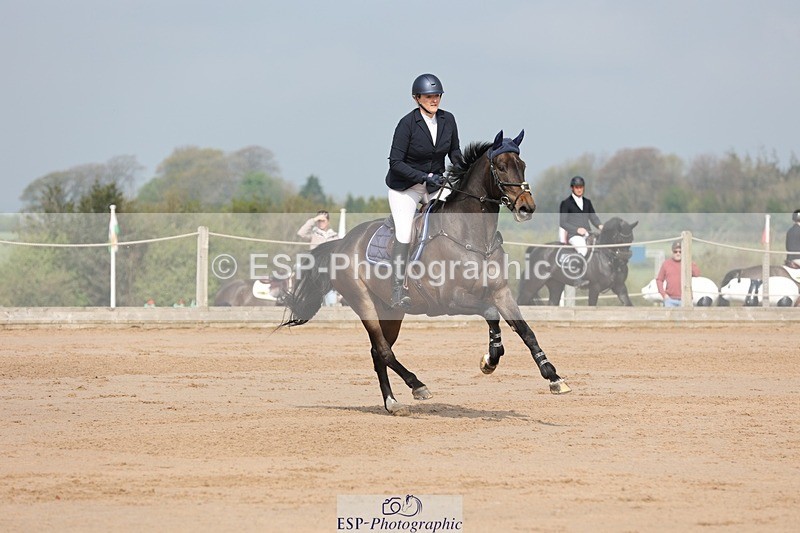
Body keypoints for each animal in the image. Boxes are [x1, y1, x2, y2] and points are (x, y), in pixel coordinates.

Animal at [279, 130, 571, 415]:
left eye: (522, 165)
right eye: (500, 167)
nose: (526, 207)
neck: (474, 238)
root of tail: (342, 243)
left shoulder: (501, 293)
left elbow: (525, 330)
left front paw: (553, 377)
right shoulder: (452, 300)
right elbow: (491, 314)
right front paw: (490, 359)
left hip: (391, 311)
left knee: (378, 351)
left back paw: (392, 402)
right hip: (364, 303)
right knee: (383, 350)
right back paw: (417, 386)